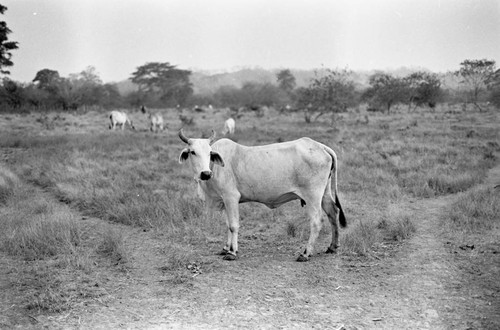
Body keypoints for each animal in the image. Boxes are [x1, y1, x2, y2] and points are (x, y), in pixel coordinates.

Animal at [178, 130, 346, 262]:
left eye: (209, 153)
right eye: (193, 152)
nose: (205, 174)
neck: (215, 167)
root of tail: (320, 146)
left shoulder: (231, 197)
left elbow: (233, 225)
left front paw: (232, 252)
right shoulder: (225, 201)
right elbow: (227, 225)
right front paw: (226, 248)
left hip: (313, 196)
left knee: (316, 221)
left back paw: (305, 253)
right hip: (324, 194)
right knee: (333, 212)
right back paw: (332, 246)